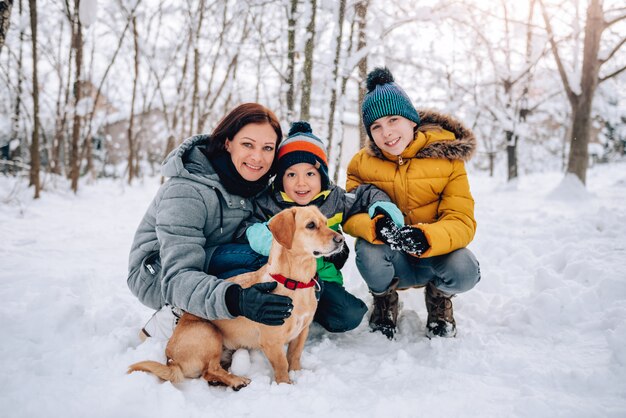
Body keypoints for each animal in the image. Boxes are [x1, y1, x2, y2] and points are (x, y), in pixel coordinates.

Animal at [127, 206, 342, 388]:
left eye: (325, 222)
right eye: (311, 225)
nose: (341, 240)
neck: (295, 282)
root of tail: (171, 360)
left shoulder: (302, 331)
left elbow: (294, 357)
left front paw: (298, 374)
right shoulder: (272, 342)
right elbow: (282, 366)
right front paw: (286, 386)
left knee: (208, 373)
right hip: (209, 332)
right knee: (210, 369)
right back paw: (237, 380)